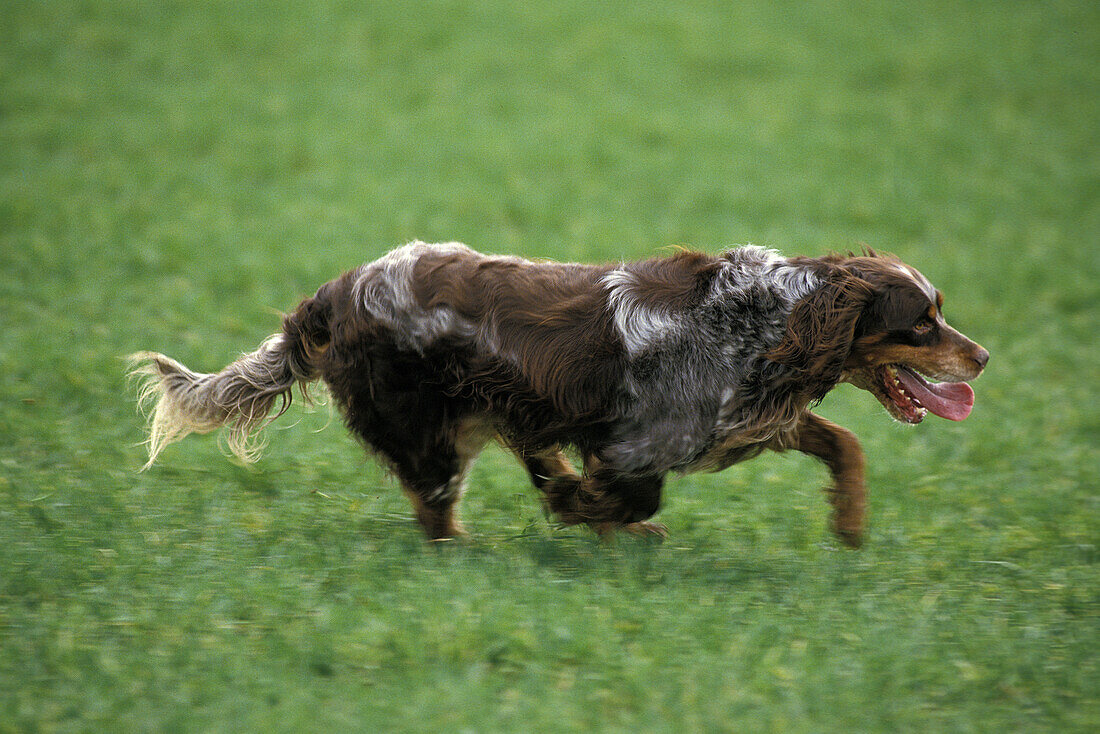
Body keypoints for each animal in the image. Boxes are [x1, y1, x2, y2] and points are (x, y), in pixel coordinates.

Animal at [128, 244, 990, 548]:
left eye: (940, 311)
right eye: (922, 323)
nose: (982, 355)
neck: (767, 319)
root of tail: (333, 297)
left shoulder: (742, 420)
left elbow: (844, 443)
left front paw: (848, 525)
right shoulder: (641, 441)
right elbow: (631, 499)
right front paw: (591, 517)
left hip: (474, 413)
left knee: (509, 460)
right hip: (428, 434)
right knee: (437, 515)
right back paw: (473, 551)